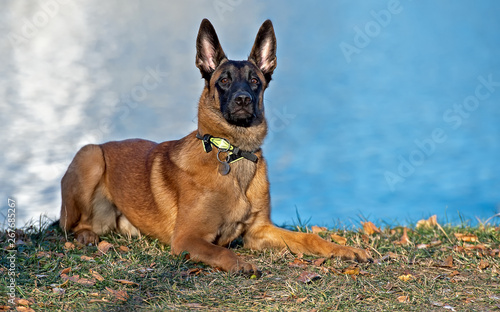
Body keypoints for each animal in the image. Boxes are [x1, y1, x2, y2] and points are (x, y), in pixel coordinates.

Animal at [59, 18, 372, 276]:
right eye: (224, 80)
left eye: (255, 81)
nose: (243, 99)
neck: (234, 154)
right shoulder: (187, 238)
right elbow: (220, 251)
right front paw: (241, 264)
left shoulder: (259, 231)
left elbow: (308, 237)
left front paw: (346, 249)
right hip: (91, 155)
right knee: (71, 225)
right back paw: (86, 236)